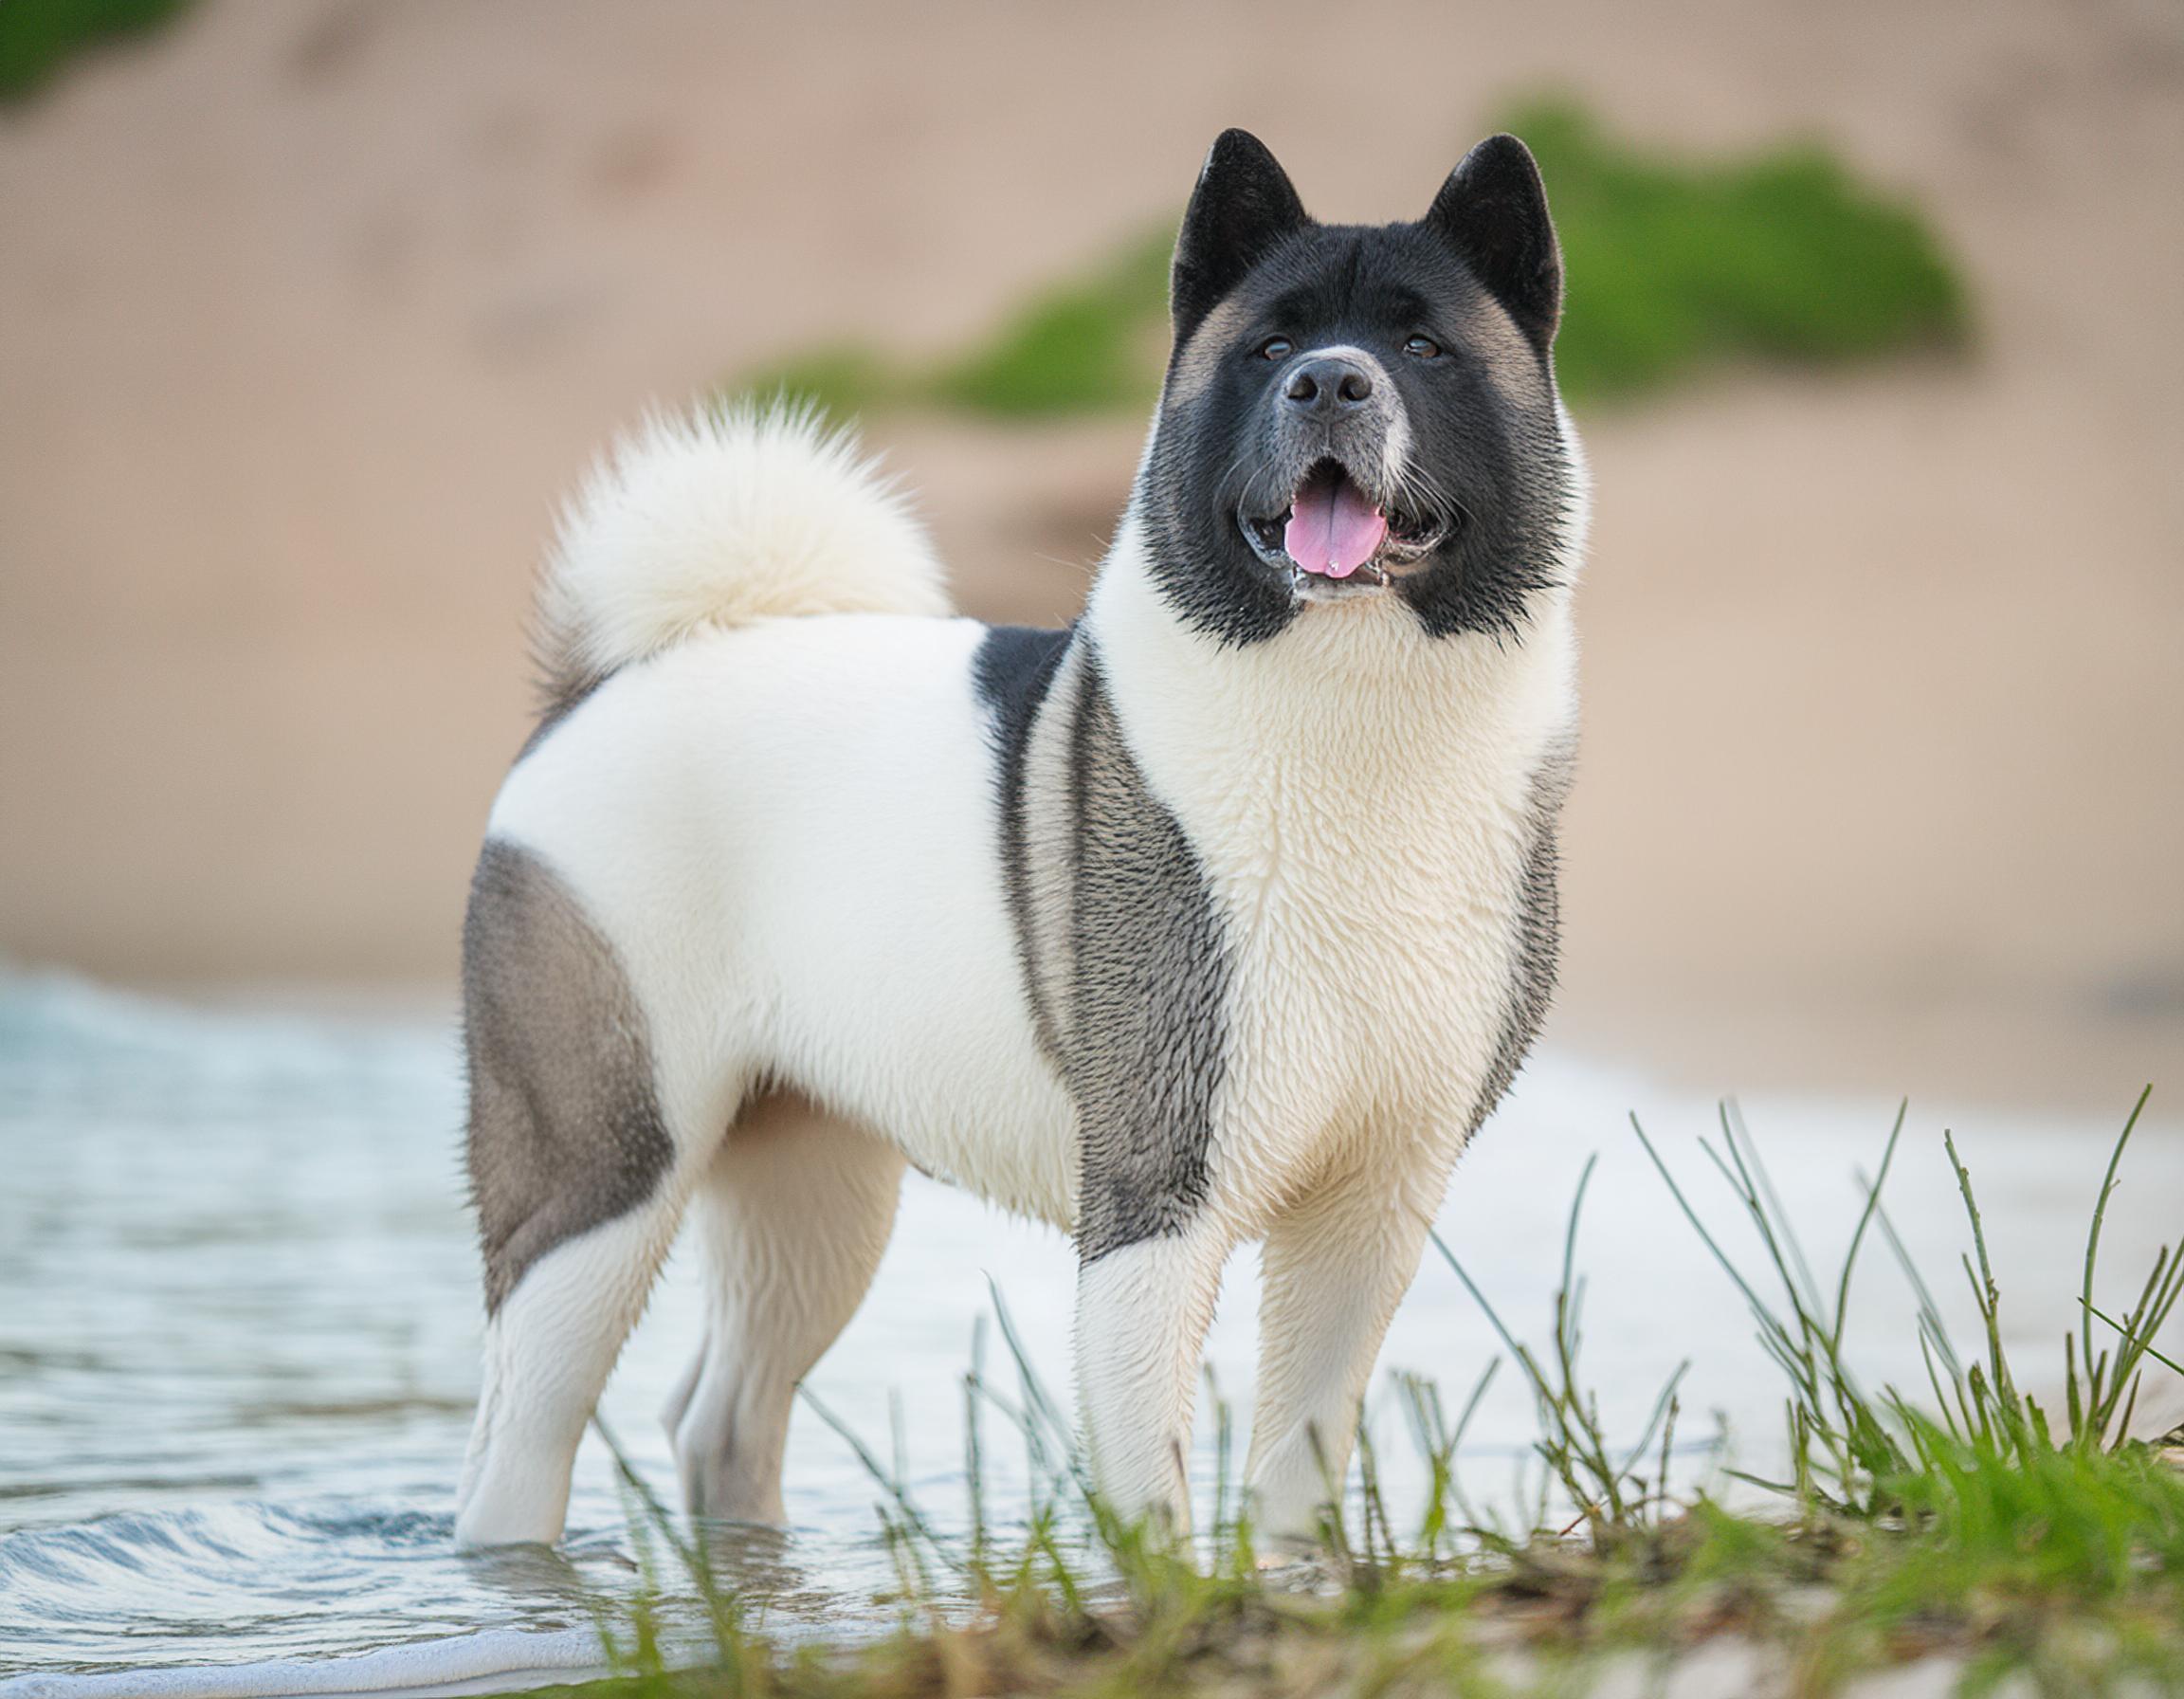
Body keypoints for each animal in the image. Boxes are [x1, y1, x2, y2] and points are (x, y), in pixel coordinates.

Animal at [456, 125, 1590, 1545]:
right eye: (1271, 347)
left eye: (1425, 345)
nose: (1331, 381)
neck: (1354, 712)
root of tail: (609, 684)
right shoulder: (1156, 1202)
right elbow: (1153, 1490)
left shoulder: (1370, 1215)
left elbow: (1298, 1471)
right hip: (601, 1185)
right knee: (519, 1443)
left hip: (814, 1195)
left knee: (722, 1416)